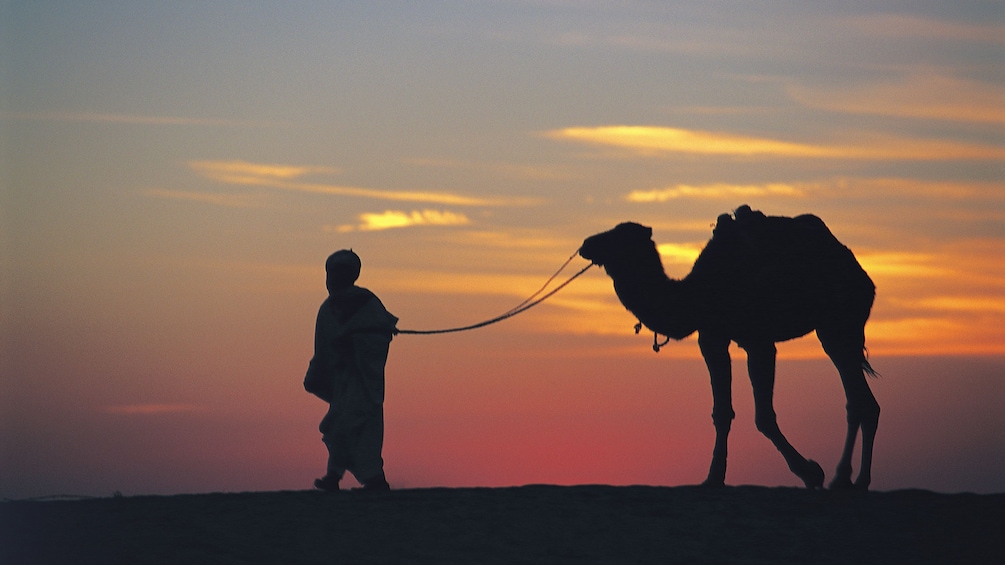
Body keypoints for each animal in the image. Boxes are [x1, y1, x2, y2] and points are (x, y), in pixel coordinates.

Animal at [582, 204, 880, 486]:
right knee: (860, 399)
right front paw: (713, 477)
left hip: (841, 322)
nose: (587, 244)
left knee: (859, 399)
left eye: (620, 236)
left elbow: (764, 416)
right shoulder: (712, 336)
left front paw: (811, 473)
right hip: (832, 330)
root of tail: (859, 271)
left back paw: (848, 478)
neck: (697, 292)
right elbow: (722, 412)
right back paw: (851, 479)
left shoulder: (759, 340)